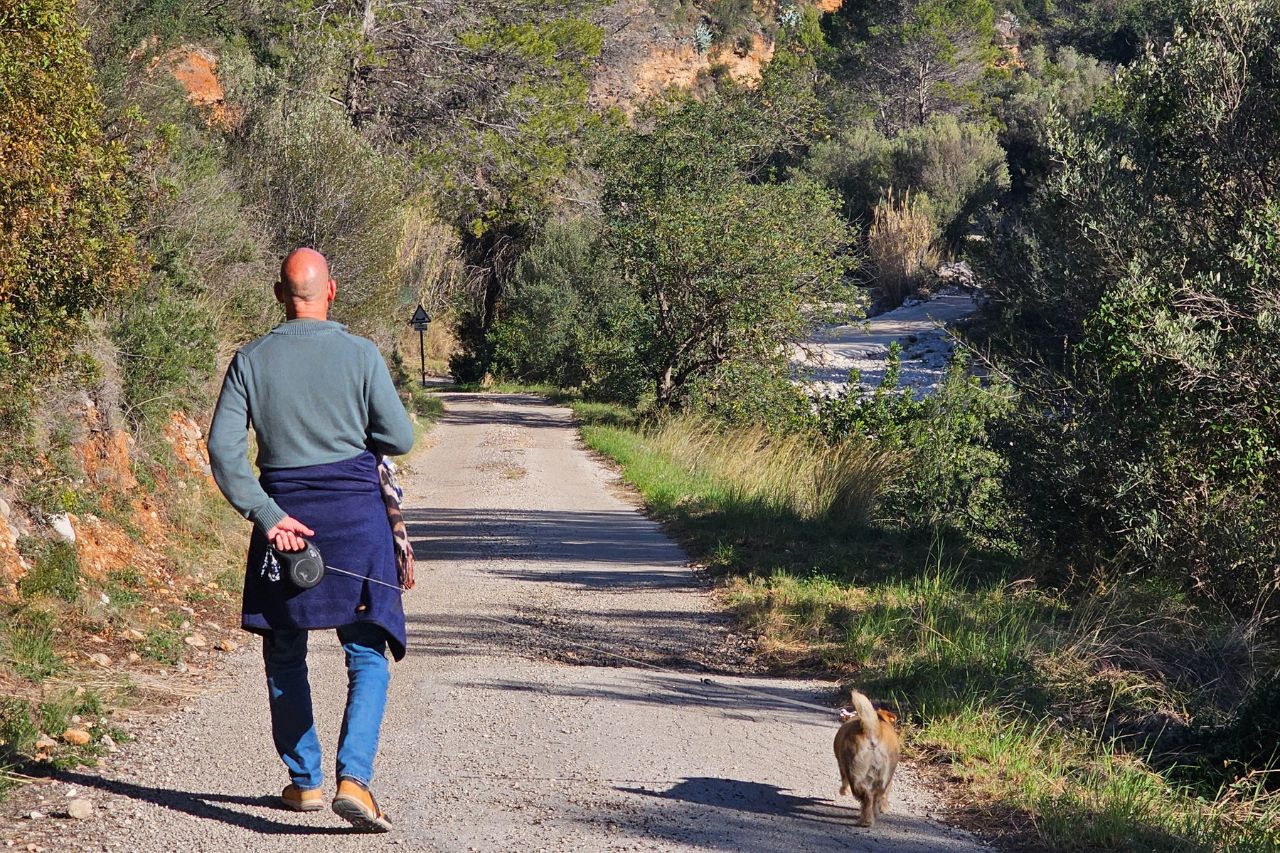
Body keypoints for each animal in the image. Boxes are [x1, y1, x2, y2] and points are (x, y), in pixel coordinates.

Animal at [829, 691, 901, 824]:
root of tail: (872, 731)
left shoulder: (842, 765)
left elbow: (844, 780)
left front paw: (843, 791)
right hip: (884, 776)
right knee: (875, 797)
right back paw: (872, 816)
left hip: (855, 772)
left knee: (867, 797)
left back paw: (866, 820)